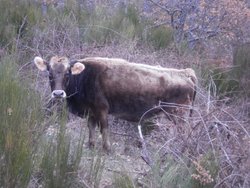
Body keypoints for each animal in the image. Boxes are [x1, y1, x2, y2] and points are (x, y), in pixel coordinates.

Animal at [33, 55, 197, 151]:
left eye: (67, 73)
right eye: (49, 73)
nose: (58, 94)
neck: (84, 78)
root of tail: (184, 72)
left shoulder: (101, 109)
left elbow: (104, 129)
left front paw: (107, 149)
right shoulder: (91, 111)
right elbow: (91, 128)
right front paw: (91, 145)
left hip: (179, 115)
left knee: (186, 135)